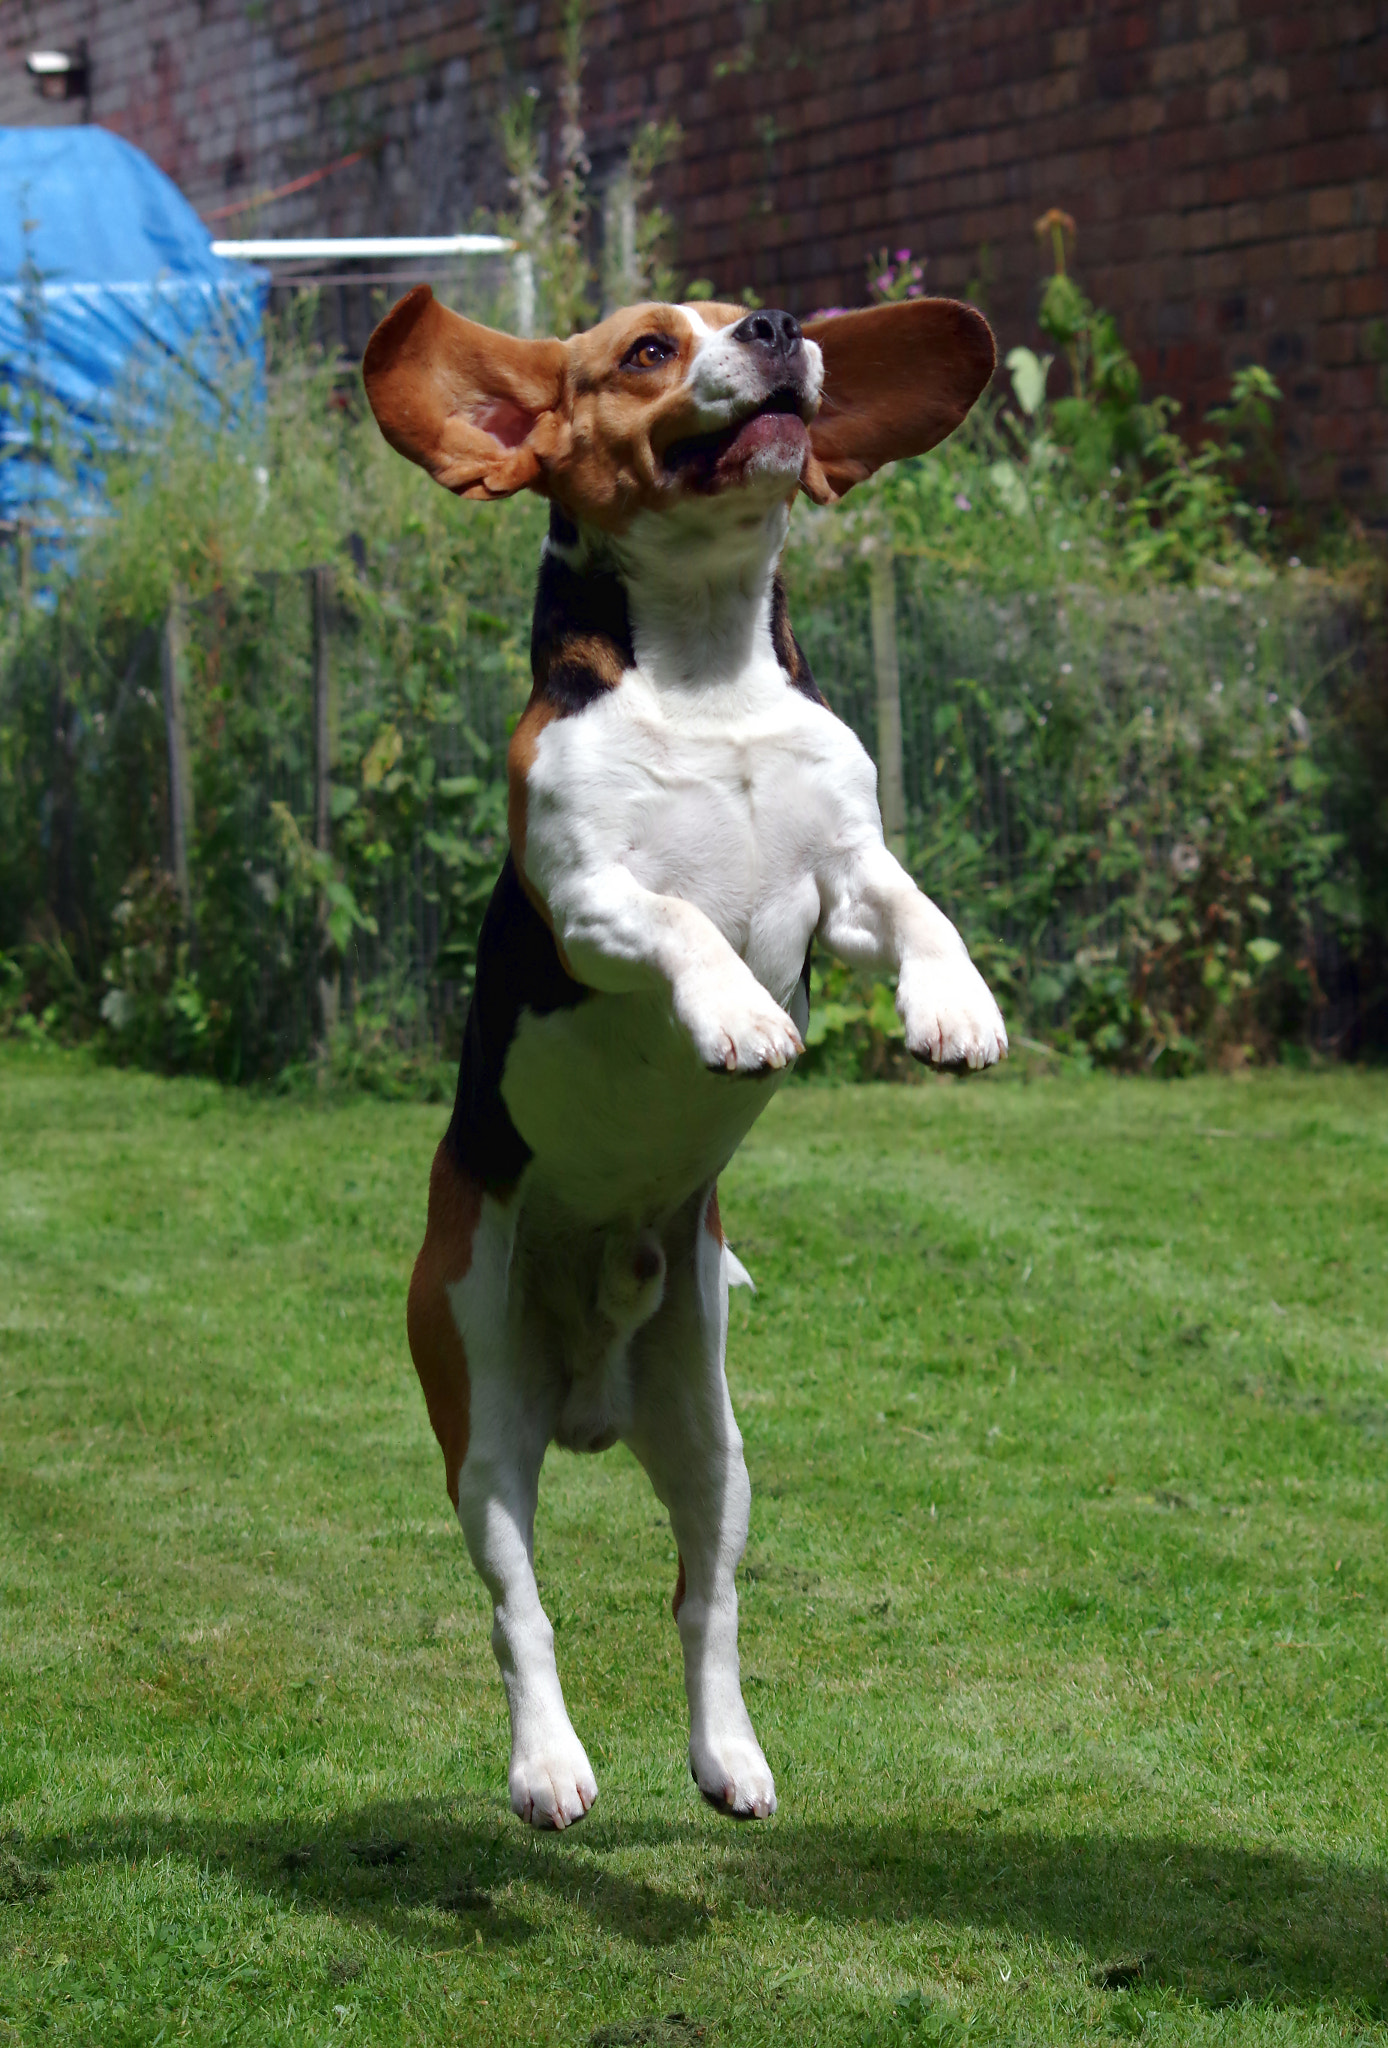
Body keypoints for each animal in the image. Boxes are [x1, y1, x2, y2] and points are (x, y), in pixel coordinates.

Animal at [364, 280, 1007, 1835]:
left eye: (745, 313)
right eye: (647, 349)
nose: (774, 327)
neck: (709, 676)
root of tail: (592, 1394)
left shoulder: (845, 879)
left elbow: (915, 908)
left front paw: (954, 1006)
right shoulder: (588, 896)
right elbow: (677, 921)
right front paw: (736, 1019)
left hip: (711, 1436)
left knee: (701, 1599)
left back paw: (729, 1756)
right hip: (480, 1409)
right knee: (518, 1606)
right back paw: (547, 1764)